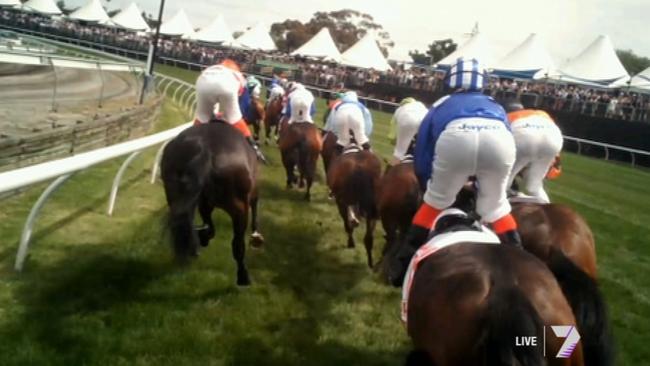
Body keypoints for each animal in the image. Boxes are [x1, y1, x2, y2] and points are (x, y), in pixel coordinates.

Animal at [161, 122, 262, 286]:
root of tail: (204, 149)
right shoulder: (253, 192)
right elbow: (255, 207)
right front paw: (256, 235)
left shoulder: (204, 203)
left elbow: (209, 226)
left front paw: (202, 237)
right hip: (239, 209)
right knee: (238, 245)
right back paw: (243, 277)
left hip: (175, 199)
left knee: (184, 225)